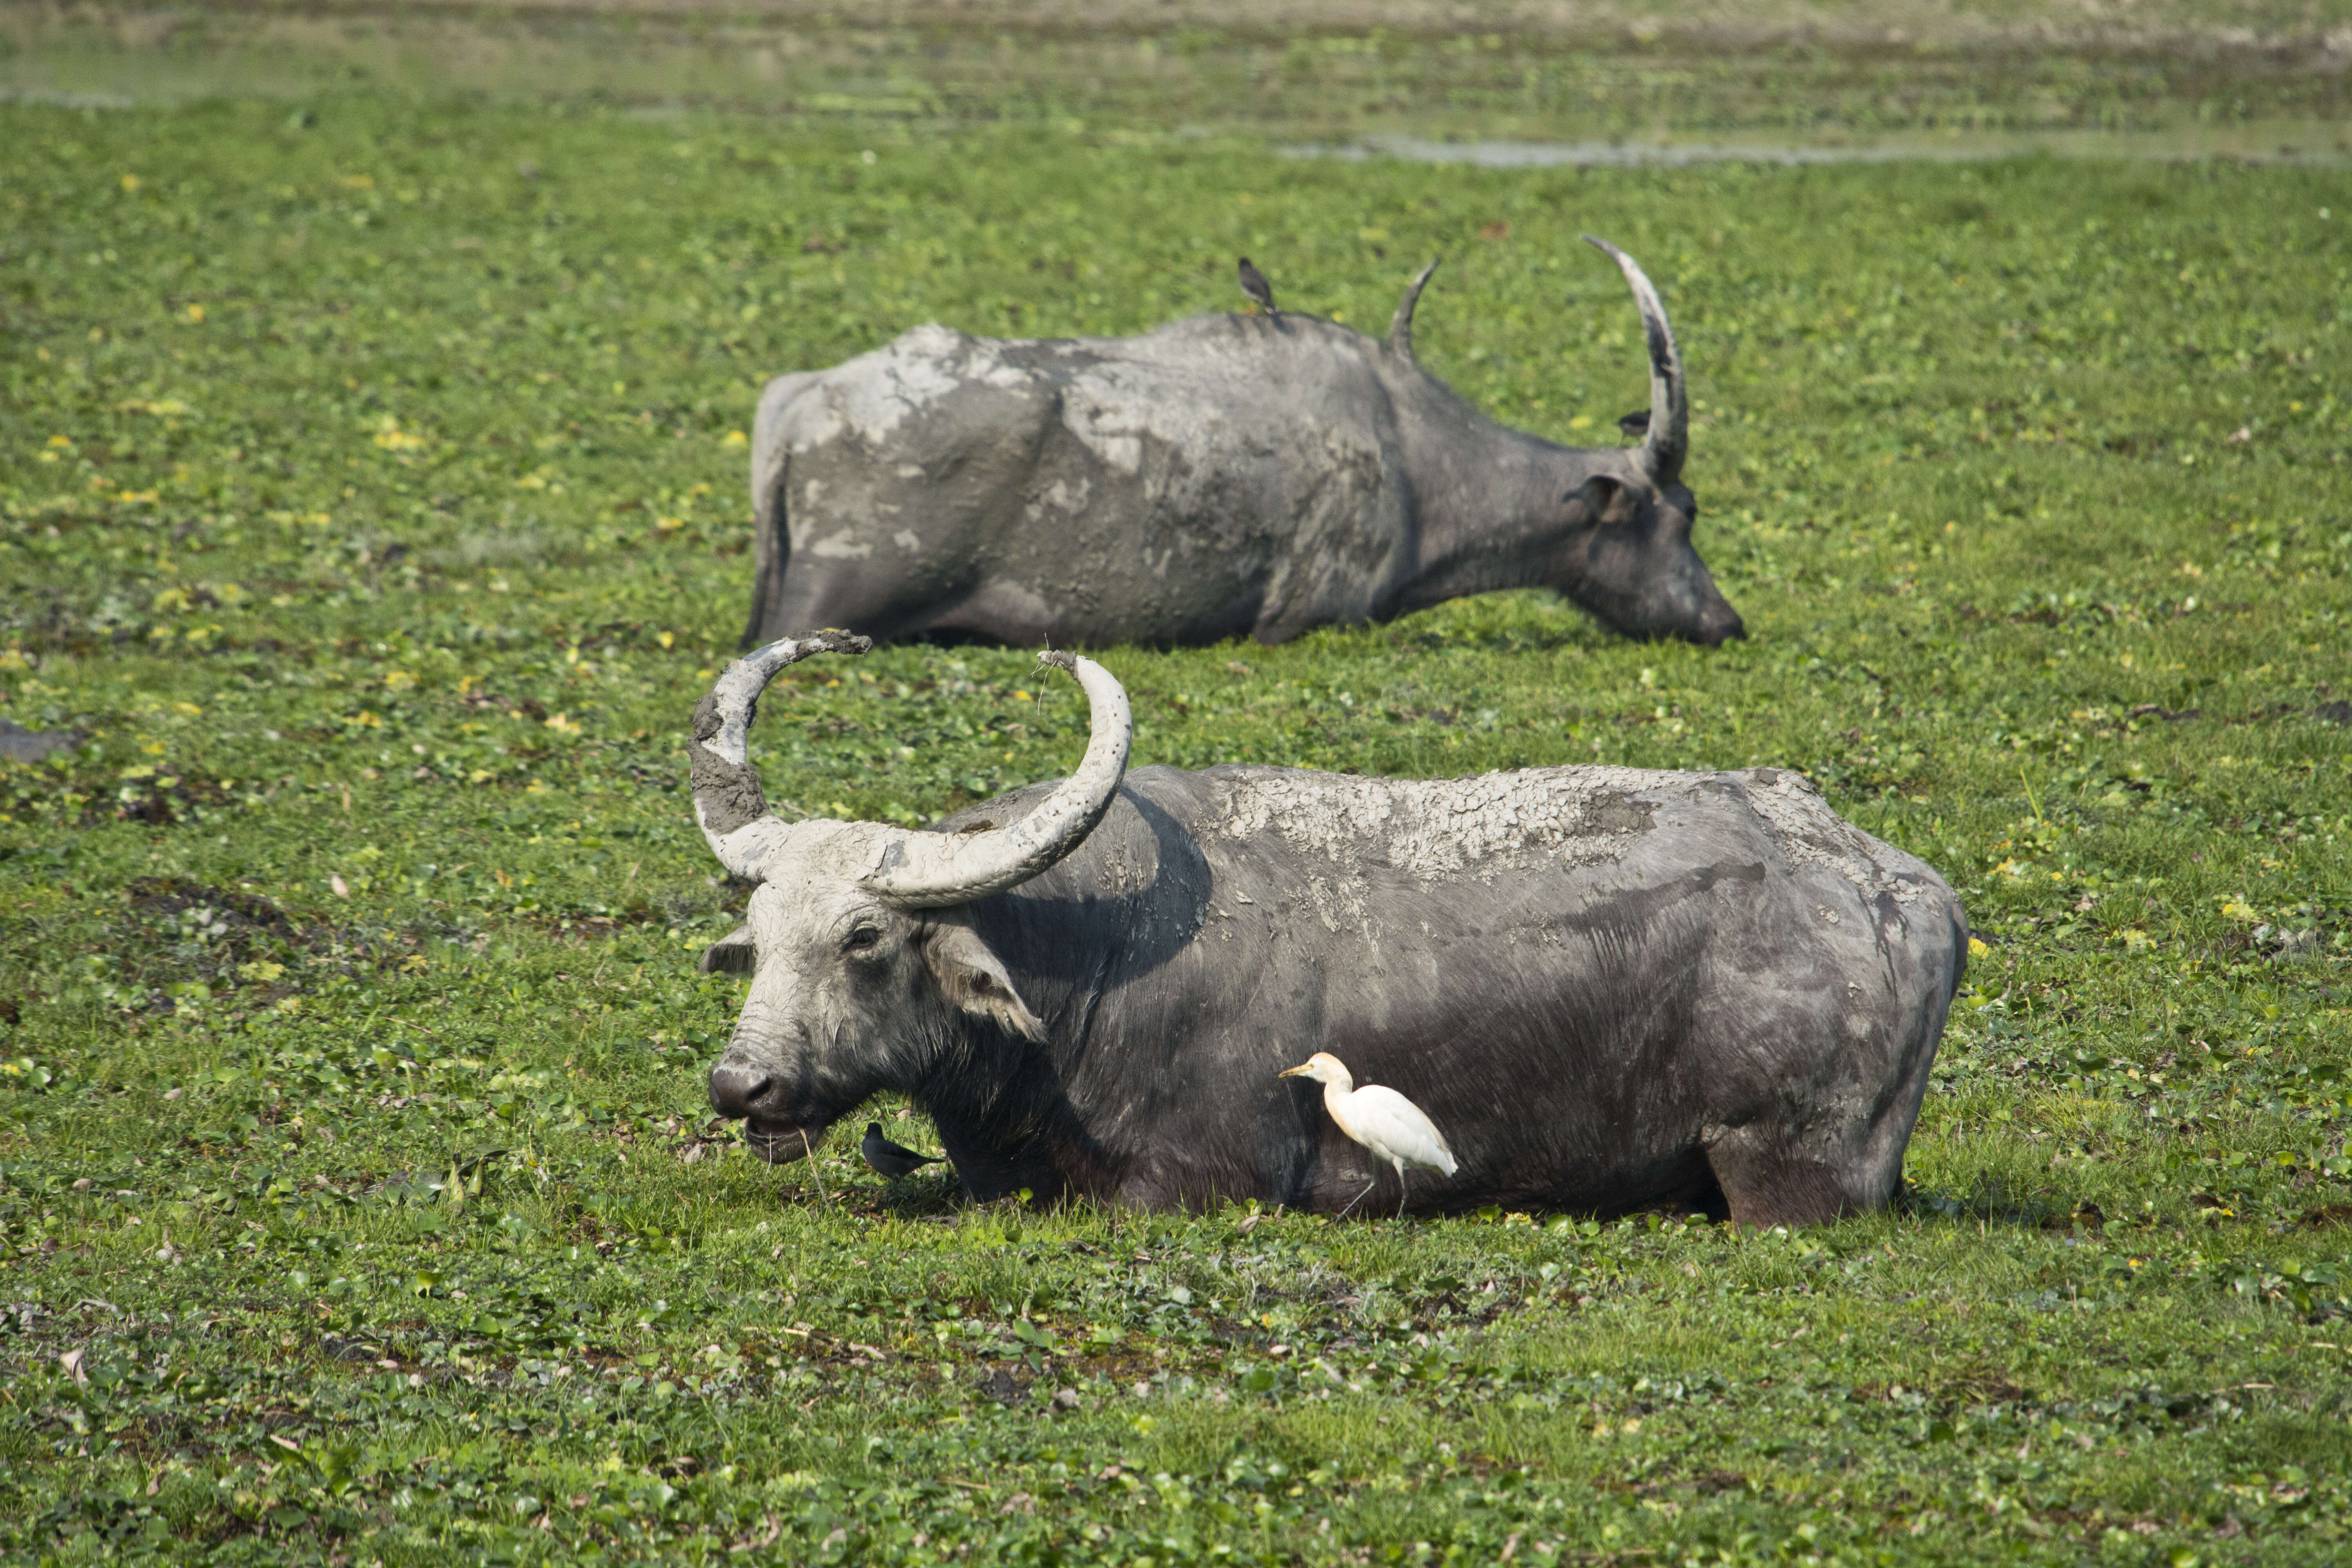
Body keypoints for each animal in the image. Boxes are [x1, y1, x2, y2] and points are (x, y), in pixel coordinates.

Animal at [687, 630, 1957, 1222]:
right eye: (758, 933)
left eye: (863, 937)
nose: (743, 1085)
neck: (1081, 969)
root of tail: (1901, 890)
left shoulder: (1201, 1182)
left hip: (1784, 1171)